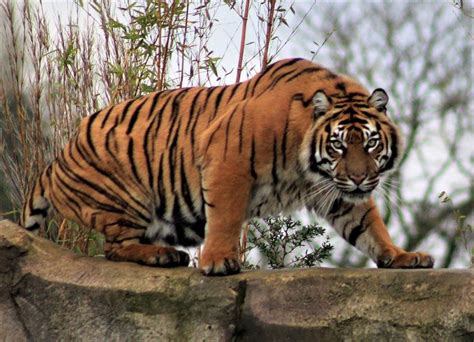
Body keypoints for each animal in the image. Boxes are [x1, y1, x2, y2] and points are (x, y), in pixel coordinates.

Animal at [20, 58, 434, 276]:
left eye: (370, 143)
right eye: (338, 145)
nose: (361, 178)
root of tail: (56, 160)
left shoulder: (337, 190)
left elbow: (370, 226)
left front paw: (401, 256)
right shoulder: (226, 162)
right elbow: (225, 217)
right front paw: (219, 261)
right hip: (125, 196)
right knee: (115, 248)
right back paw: (161, 255)